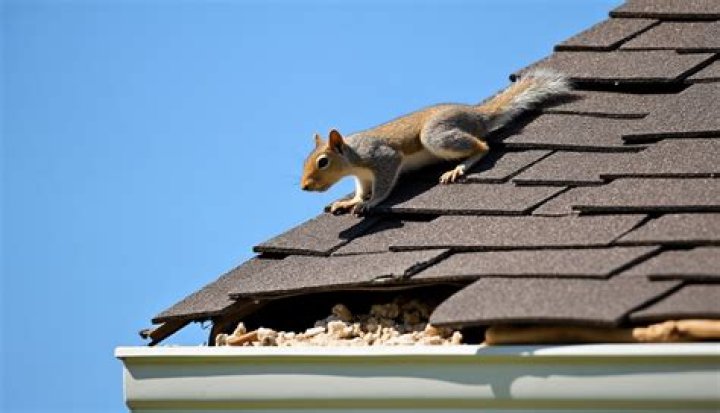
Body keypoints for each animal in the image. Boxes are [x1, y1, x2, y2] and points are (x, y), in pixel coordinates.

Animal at [301, 69, 570, 215]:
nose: (304, 186)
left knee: (482, 146)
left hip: (435, 135)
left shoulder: (381, 157)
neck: (353, 157)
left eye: (323, 162)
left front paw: (372, 202)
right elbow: (360, 190)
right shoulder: (363, 176)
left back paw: (458, 168)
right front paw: (351, 201)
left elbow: (384, 184)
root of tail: (476, 115)